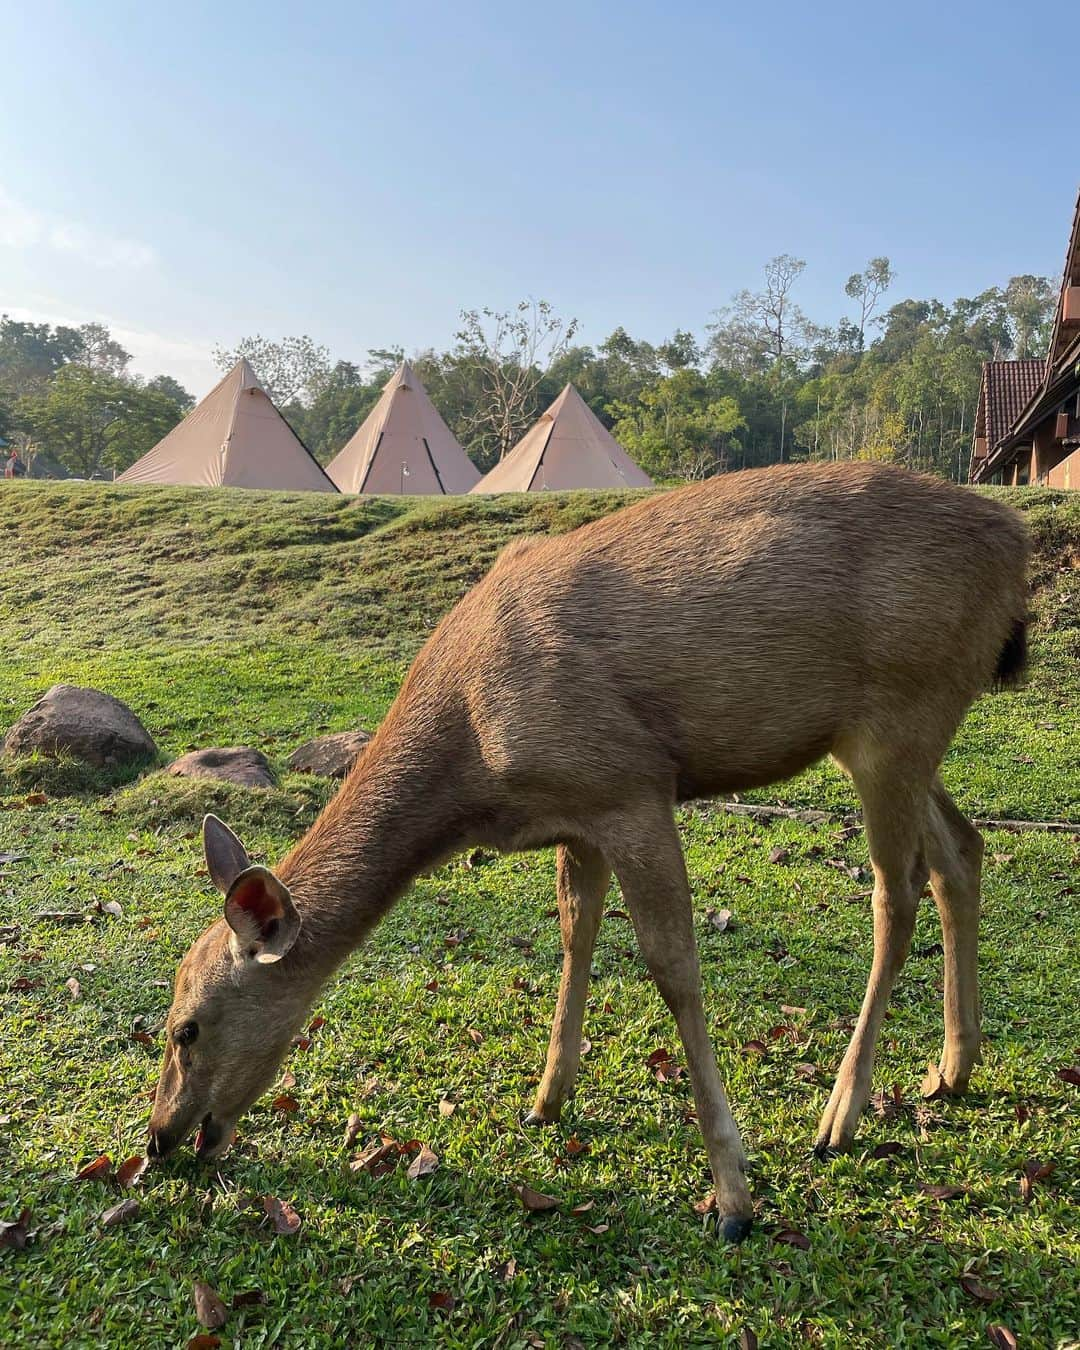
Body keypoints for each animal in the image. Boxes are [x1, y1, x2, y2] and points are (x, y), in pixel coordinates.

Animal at [145, 464, 1031, 1242]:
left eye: (186, 1028)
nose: (159, 1139)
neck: (473, 771)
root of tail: (1015, 552)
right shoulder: (577, 816)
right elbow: (576, 932)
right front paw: (547, 1097)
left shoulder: (630, 784)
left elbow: (673, 968)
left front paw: (734, 1194)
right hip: (904, 737)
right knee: (963, 849)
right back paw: (952, 1068)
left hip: (899, 713)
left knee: (896, 891)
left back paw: (840, 1116)